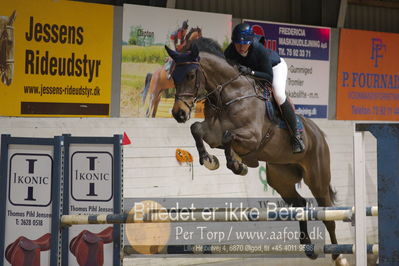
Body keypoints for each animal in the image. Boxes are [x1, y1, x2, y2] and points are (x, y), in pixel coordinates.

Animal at [164, 38, 348, 266]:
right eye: (174, 76)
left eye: (190, 75)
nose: (178, 113)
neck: (228, 95)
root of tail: (318, 133)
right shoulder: (212, 133)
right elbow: (197, 129)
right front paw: (209, 160)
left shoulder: (252, 136)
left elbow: (228, 137)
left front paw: (236, 164)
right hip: (280, 177)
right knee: (300, 203)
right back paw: (308, 246)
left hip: (317, 178)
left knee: (327, 214)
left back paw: (339, 256)